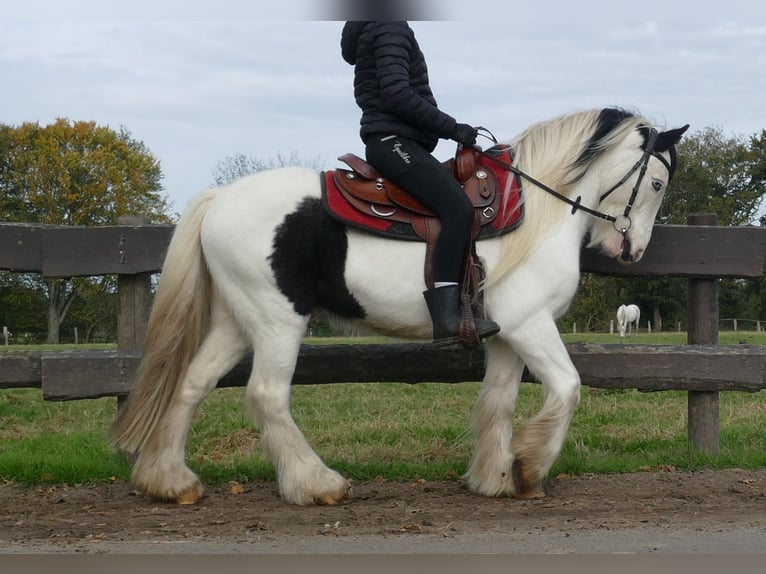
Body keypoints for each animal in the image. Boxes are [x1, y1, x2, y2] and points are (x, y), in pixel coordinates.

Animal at [109, 106, 688, 506]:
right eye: (657, 182)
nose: (633, 250)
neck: (534, 210)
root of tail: (218, 200)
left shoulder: (507, 335)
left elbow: (498, 402)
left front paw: (496, 477)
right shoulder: (530, 324)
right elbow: (568, 389)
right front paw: (528, 466)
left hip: (236, 321)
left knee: (190, 384)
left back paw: (170, 481)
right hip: (278, 320)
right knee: (267, 395)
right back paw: (317, 484)